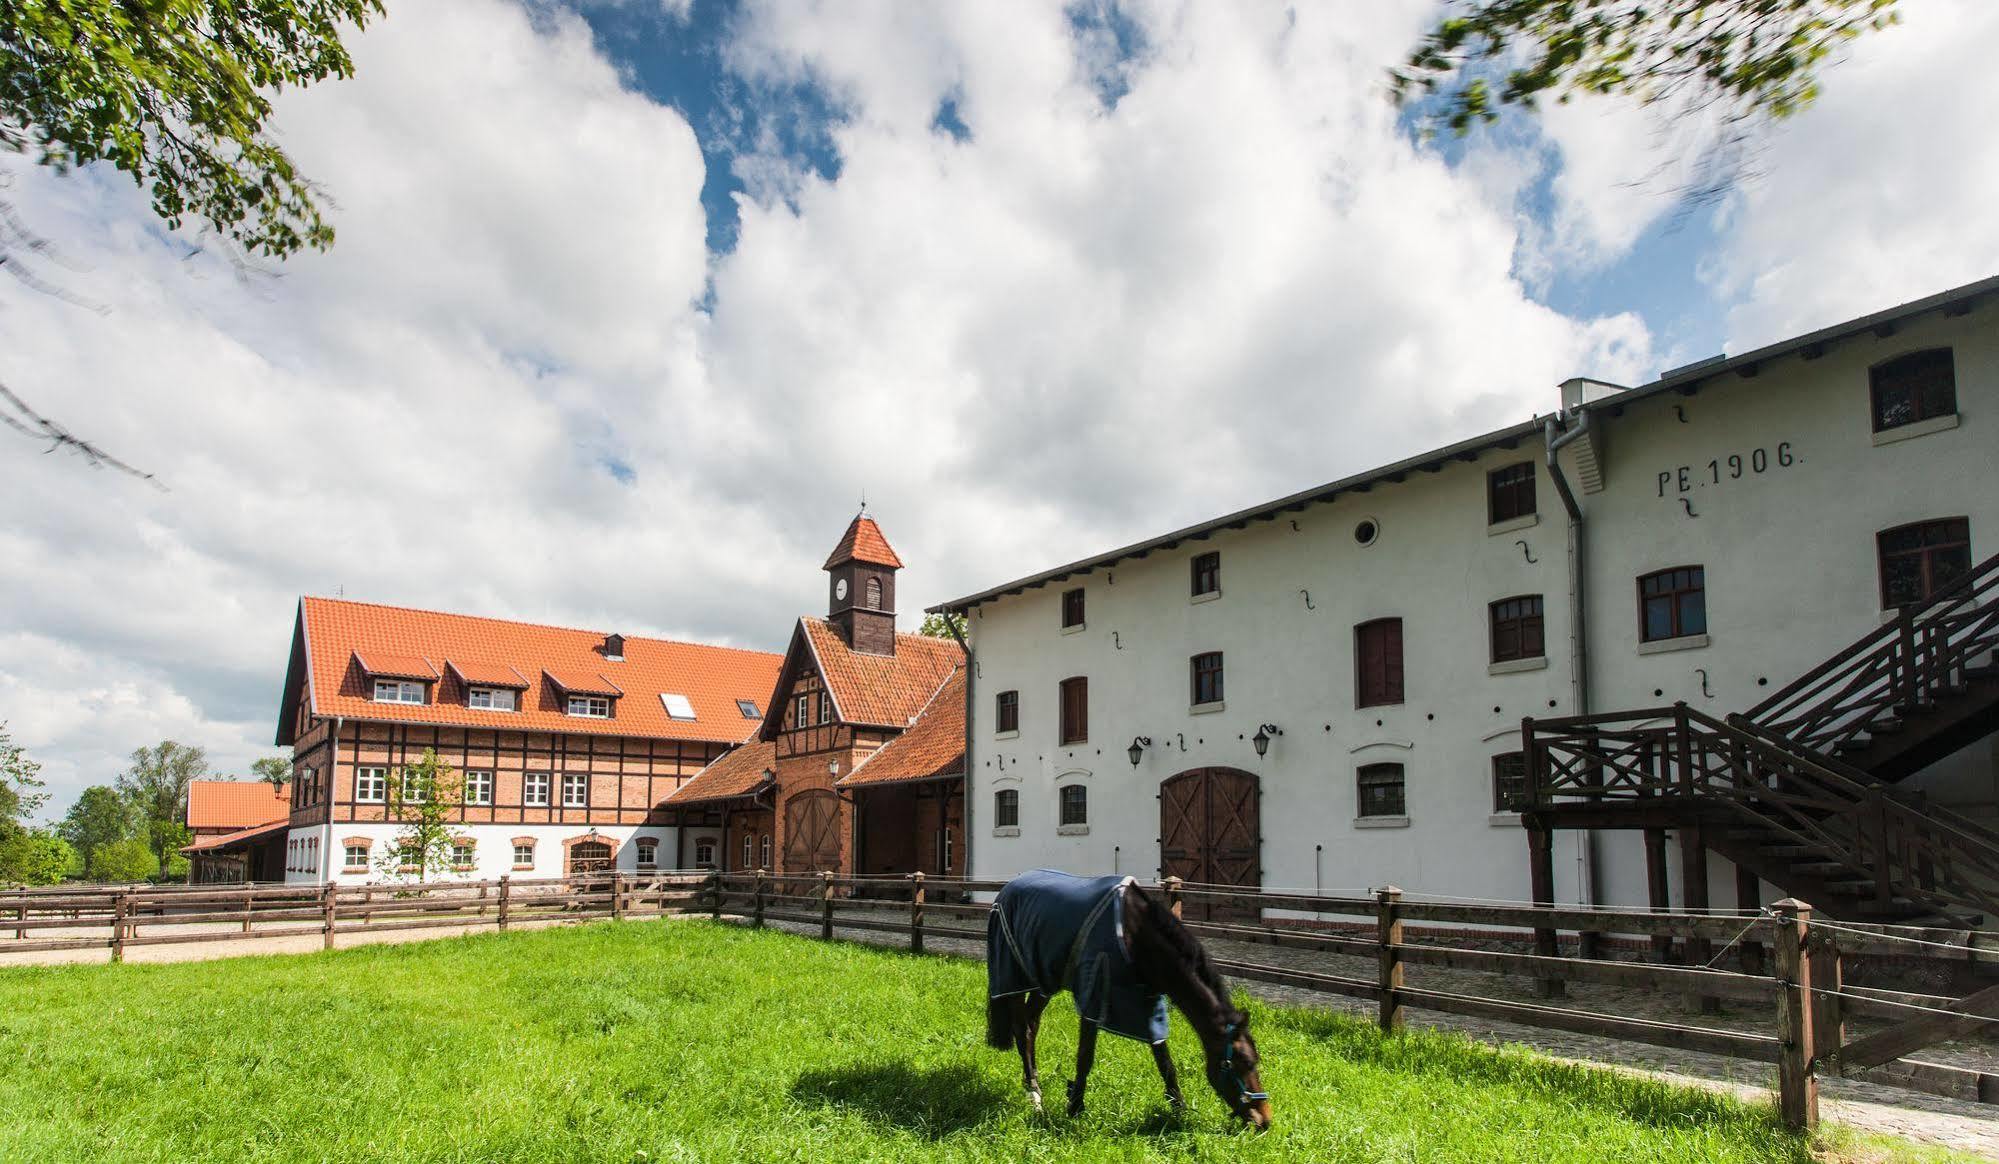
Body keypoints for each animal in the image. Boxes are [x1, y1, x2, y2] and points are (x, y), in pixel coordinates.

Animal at [991, 868, 1271, 1128]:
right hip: (1015, 977)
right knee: (1021, 1029)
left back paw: (1034, 1086)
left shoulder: (1149, 1004)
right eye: (1242, 1063)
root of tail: (1008, 888)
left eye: (1255, 1061)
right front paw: (1075, 1109)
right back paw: (1034, 1095)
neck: (1134, 934)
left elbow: (1165, 1061)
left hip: (1044, 980)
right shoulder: (1094, 993)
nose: (1264, 1121)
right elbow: (1085, 1056)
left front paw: (1179, 1109)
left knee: (1031, 1026)